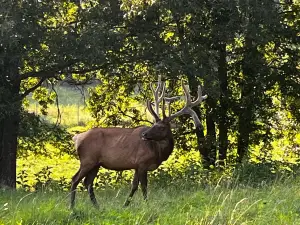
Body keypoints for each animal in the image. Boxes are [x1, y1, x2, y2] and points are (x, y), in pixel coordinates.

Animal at [70, 77, 206, 209]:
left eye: (161, 127)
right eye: (154, 124)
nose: (144, 135)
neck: (158, 152)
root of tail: (77, 138)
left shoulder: (136, 165)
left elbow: (134, 186)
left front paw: (125, 205)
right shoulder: (142, 162)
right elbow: (144, 186)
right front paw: (147, 205)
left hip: (96, 164)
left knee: (88, 182)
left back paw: (97, 207)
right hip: (87, 159)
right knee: (75, 179)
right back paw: (72, 208)